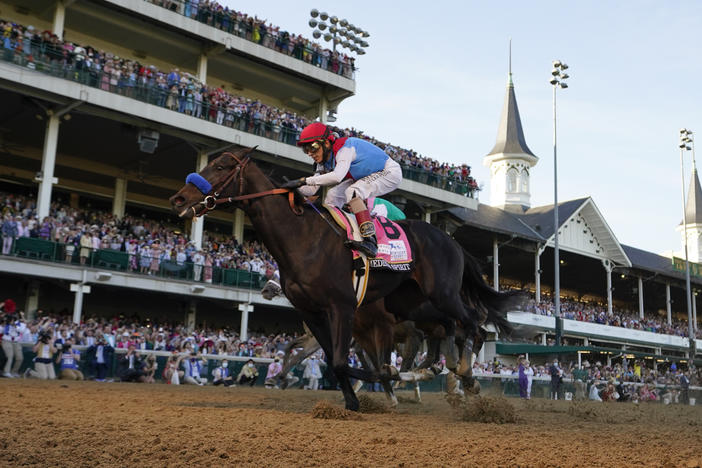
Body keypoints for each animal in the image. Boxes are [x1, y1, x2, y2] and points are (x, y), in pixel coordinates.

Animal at [169, 149, 524, 410]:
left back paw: (466, 376)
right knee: (451, 330)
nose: (179, 199)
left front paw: (384, 380)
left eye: (221, 165)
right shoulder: (316, 314)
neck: (302, 237)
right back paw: (445, 374)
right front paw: (355, 397)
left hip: (443, 293)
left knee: (474, 325)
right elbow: (331, 359)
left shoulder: (343, 308)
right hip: (410, 302)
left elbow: (344, 362)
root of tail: (453, 242)